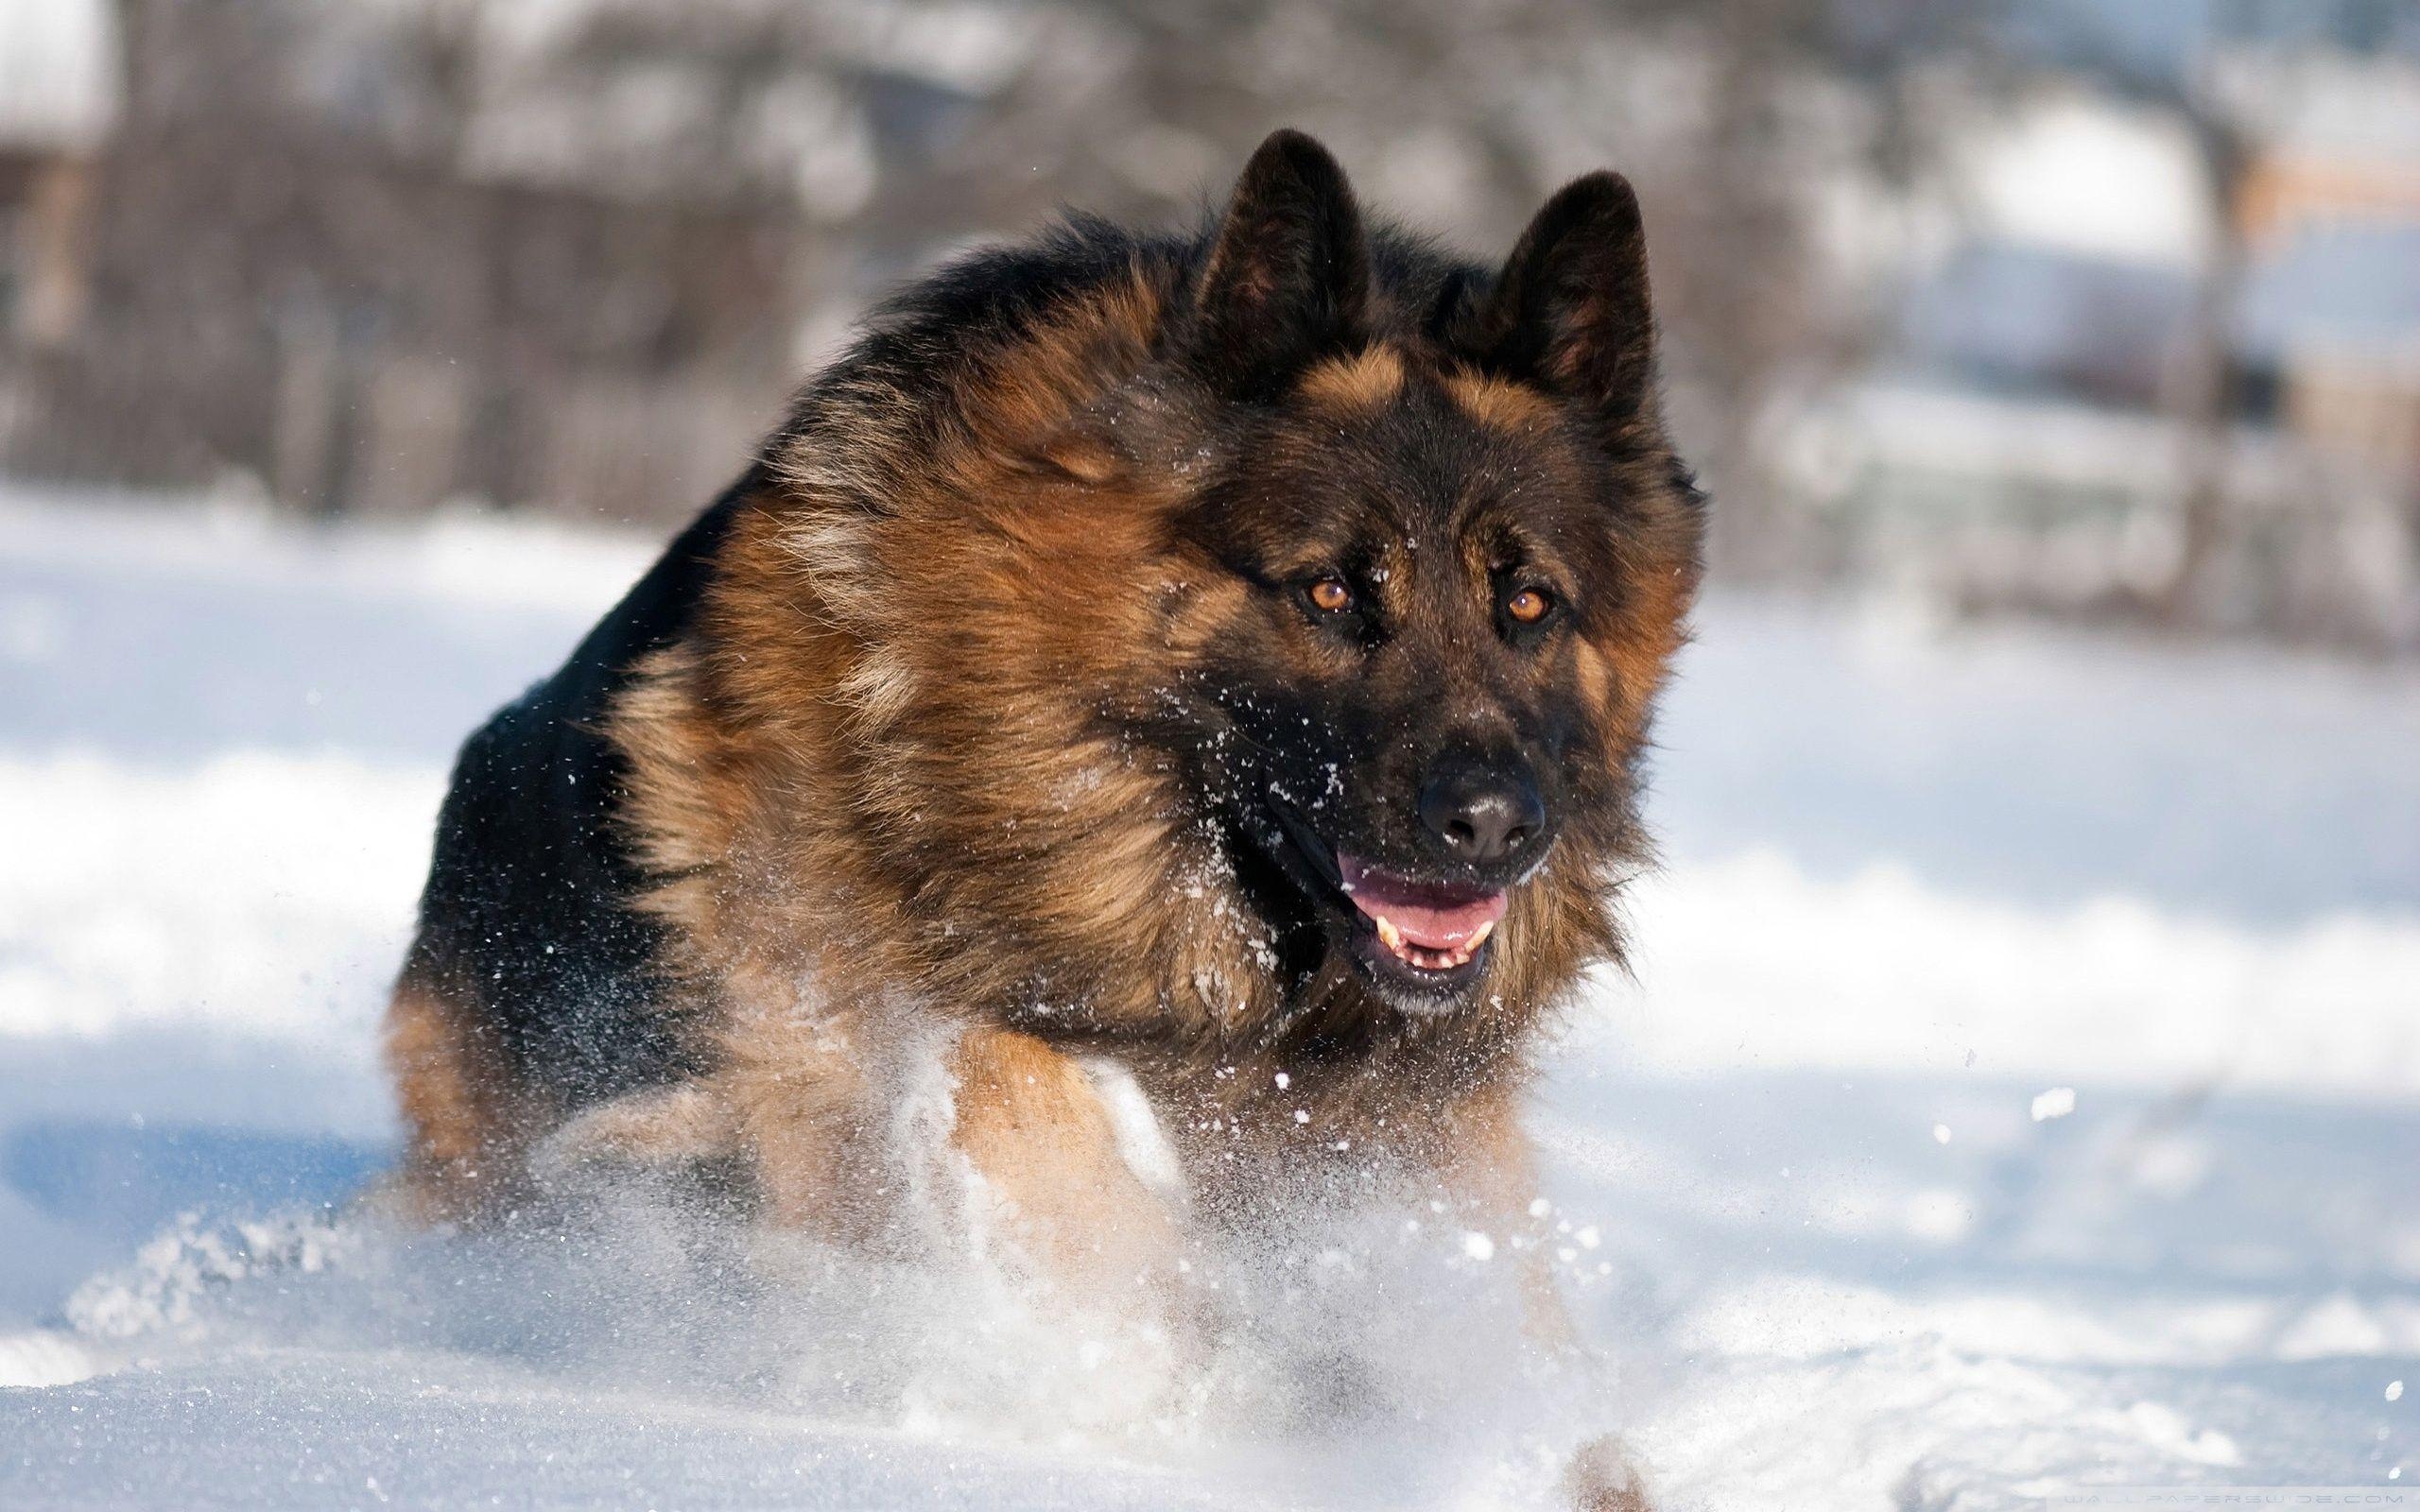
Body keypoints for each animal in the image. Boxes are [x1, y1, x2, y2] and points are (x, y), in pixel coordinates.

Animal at [382, 127, 1703, 1500]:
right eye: (1332, 592)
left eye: (1530, 604)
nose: (1496, 825)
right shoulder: (843, 1037)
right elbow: (1023, 1097)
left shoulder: (1419, 1151)